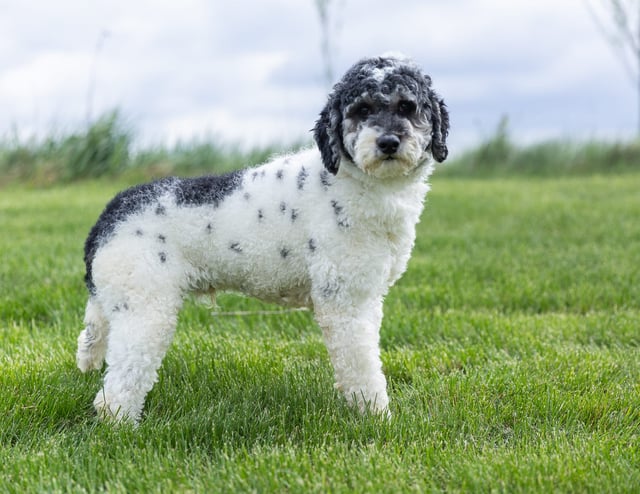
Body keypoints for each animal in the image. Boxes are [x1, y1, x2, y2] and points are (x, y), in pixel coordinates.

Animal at [76, 55, 450, 424]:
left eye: (407, 106)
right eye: (362, 109)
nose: (388, 142)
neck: (353, 182)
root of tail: (111, 213)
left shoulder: (368, 299)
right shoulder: (345, 303)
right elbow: (362, 367)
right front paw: (376, 416)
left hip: (117, 300)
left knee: (92, 337)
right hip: (146, 308)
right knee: (118, 387)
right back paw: (122, 424)